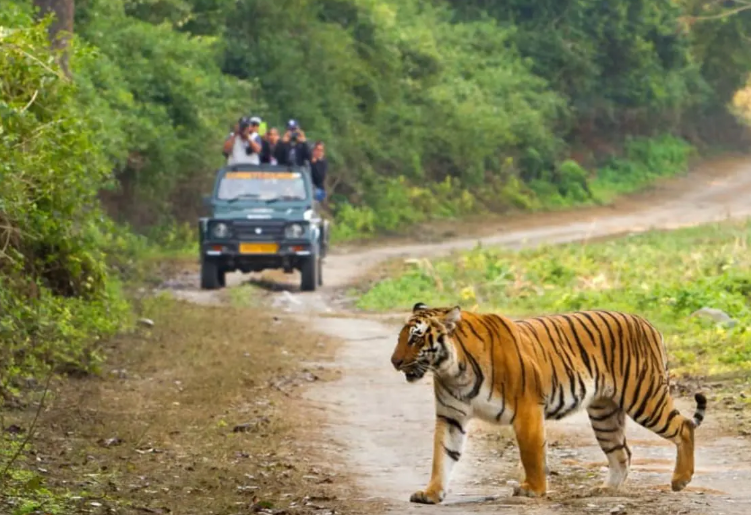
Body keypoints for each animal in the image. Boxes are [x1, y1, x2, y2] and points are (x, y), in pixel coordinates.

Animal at [390, 302, 708, 504]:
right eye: (401, 338)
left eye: (416, 338)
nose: (394, 362)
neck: (452, 370)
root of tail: (647, 322)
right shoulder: (451, 417)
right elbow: (442, 456)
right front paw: (431, 493)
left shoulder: (527, 408)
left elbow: (531, 454)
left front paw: (533, 489)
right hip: (604, 413)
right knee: (622, 452)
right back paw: (606, 491)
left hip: (645, 397)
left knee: (683, 427)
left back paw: (680, 480)